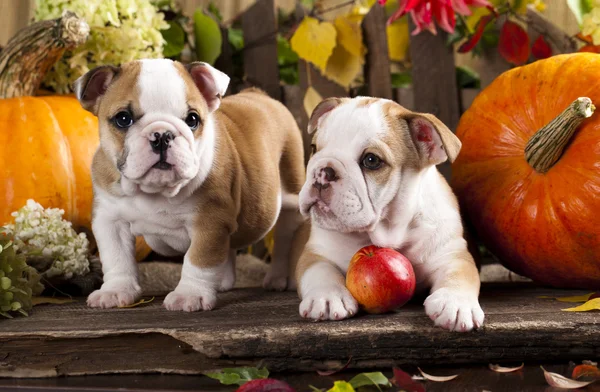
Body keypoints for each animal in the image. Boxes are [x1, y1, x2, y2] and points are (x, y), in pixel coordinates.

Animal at [75, 59, 308, 310]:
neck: (156, 192)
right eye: (123, 118)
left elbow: (199, 260)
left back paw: (278, 278)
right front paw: (116, 290)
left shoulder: (209, 222)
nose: (162, 135)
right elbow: (117, 257)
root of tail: (259, 95)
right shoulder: (110, 219)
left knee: (284, 240)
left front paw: (190, 295)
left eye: (192, 120)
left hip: (290, 196)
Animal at [292, 97, 486, 330]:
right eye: (314, 148)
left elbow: (459, 275)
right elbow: (319, 271)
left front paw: (455, 302)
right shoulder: (317, 252)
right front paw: (328, 297)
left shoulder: (451, 255)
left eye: (371, 160)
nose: (323, 171)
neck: (388, 232)